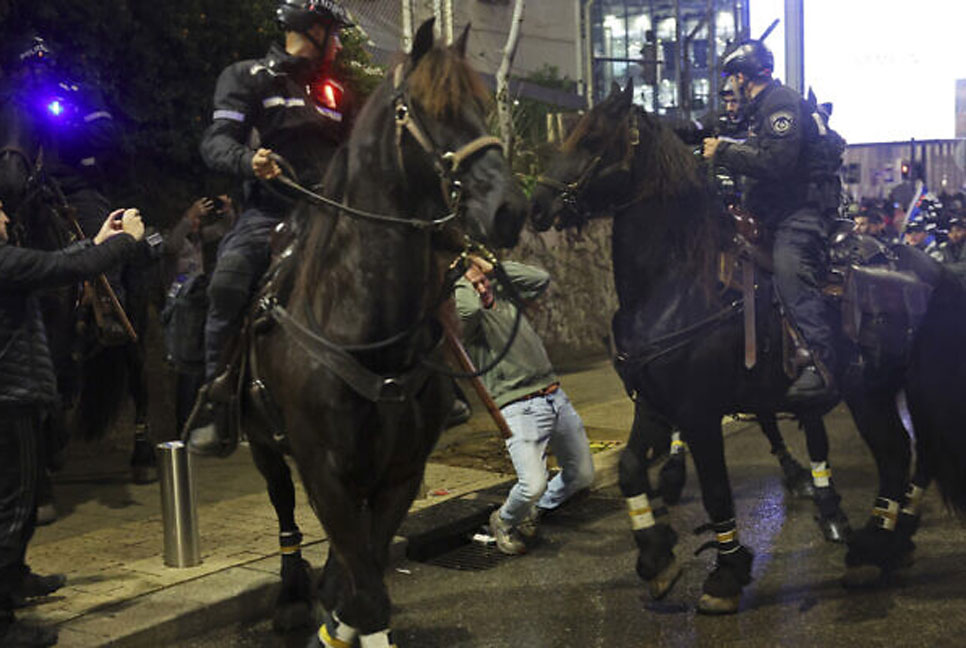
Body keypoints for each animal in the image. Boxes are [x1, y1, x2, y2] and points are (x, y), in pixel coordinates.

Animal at [235, 20, 528, 644]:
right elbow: (365, 592)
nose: (510, 209)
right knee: (284, 507)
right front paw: (328, 617)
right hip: (264, 443)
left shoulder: (400, 471)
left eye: (482, 107)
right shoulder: (323, 467)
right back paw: (292, 596)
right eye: (424, 108)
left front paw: (338, 615)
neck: (364, 328)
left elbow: (365, 579)